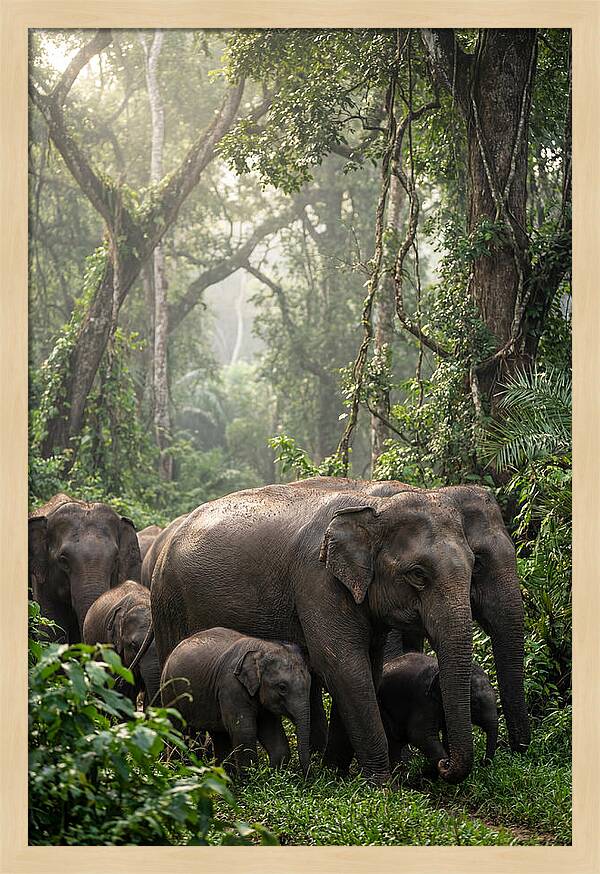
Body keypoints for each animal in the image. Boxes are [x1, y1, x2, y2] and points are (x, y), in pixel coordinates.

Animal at [160, 627, 311, 774]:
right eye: (282, 687)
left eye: (310, 683)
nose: (306, 775)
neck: (262, 647)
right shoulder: (231, 687)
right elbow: (244, 732)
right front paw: (251, 779)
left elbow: (273, 736)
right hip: (170, 692)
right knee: (177, 731)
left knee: (219, 736)